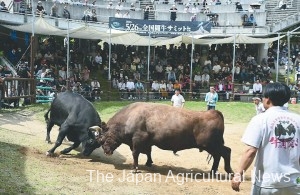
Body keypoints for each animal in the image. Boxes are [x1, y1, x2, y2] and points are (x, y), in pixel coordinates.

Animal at [97, 102, 233, 174]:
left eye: (104, 139)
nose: (106, 151)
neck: (130, 116)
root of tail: (213, 112)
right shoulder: (147, 141)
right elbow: (148, 152)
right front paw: (149, 163)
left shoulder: (137, 140)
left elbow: (135, 153)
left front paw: (135, 168)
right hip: (213, 145)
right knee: (219, 155)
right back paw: (213, 171)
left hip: (211, 145)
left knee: (226, 152)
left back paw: (228, 171)